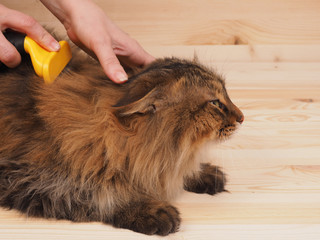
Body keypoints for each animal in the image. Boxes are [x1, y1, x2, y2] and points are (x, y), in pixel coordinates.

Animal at [0, 46, 242, 235]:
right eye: (216, 104)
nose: (242, 117)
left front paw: (199, 173)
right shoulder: (26, 178)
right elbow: (96, 196)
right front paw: (147, 209)